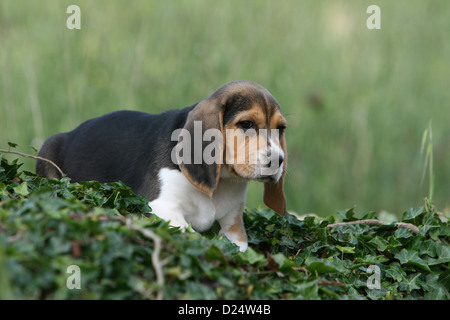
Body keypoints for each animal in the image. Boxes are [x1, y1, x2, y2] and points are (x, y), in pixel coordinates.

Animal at [37, 80, 286, 250]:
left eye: (281, 129)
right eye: (246, 124)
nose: (279, 160)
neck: (223, 181)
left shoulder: (234, 227)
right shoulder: (160, 206)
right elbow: (186, 230)